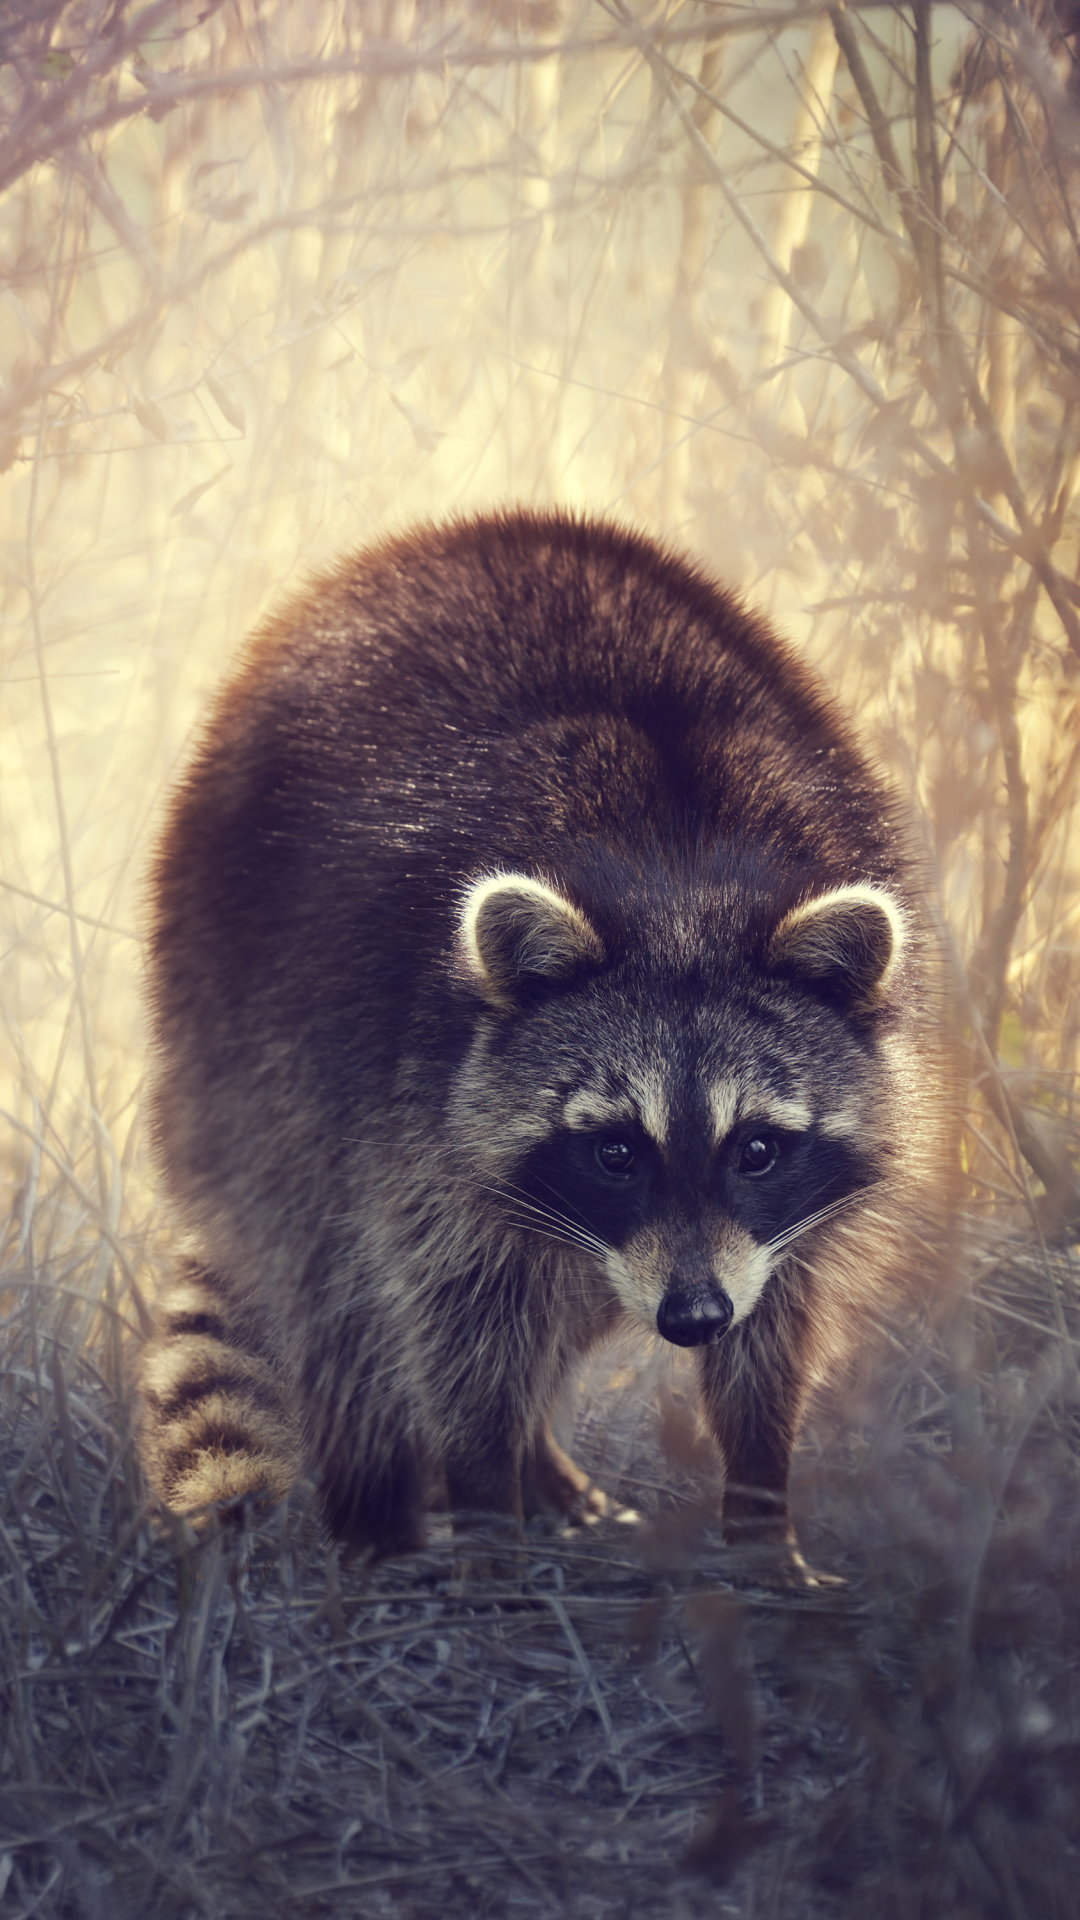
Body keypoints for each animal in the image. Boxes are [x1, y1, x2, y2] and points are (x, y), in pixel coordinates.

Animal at [140, 509, 950, 1560]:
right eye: (614, 1151)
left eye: (758, 1149)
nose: (693, 1317)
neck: (678, 881)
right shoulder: (405, 1088)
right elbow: (451, 1310)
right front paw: (487, 1500)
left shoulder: (780, 1217)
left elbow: (777, 1320)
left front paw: (760, 1504)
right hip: (239, 1023)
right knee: (337, 1289)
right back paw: (381, 1513)